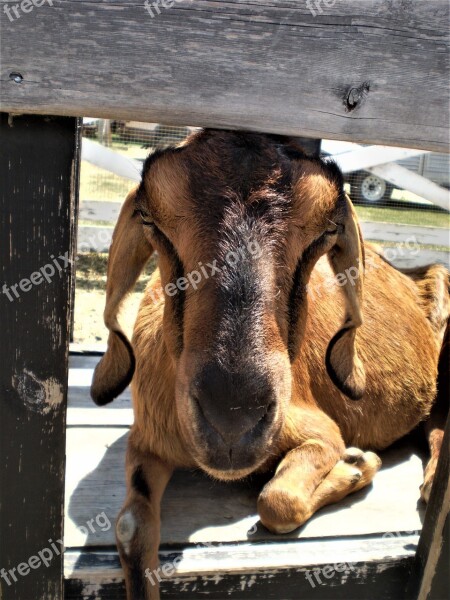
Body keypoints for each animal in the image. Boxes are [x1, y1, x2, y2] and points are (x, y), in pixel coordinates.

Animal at [89, 131, 448, 600]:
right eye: (150, 219)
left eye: (327, 230)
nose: (232, 419)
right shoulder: (150, 437)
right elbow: (131, 526)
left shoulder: (320, 431)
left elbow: (278, 502)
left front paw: (356, 466)